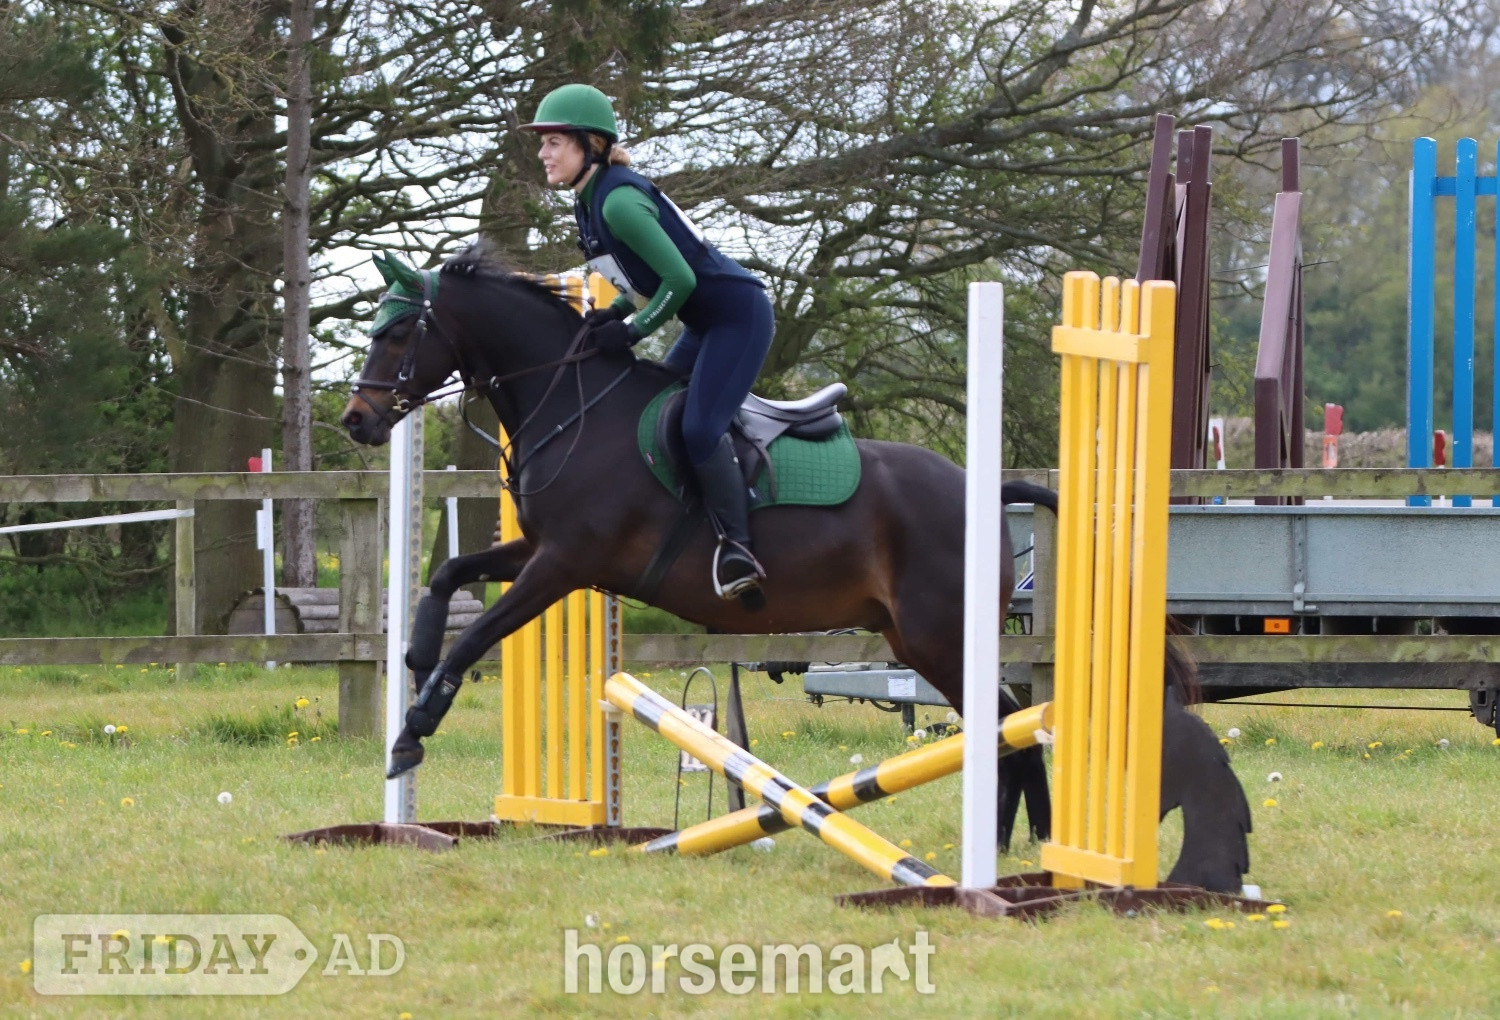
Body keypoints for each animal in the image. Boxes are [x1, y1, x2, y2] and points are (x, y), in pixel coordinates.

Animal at [341, 245, 1251, 889]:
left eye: (398, 331)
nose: (356, 420)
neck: (575, 405)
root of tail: (985, 486)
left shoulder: (563, 565)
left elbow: (476, 638)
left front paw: (412, 734)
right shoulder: (540, 553)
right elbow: (448, 577)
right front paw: (412, 659)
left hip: (940, 636)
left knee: (1010, 726)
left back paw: (993, 862)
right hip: (921, 641)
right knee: (1007, 725)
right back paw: (1005, 849)